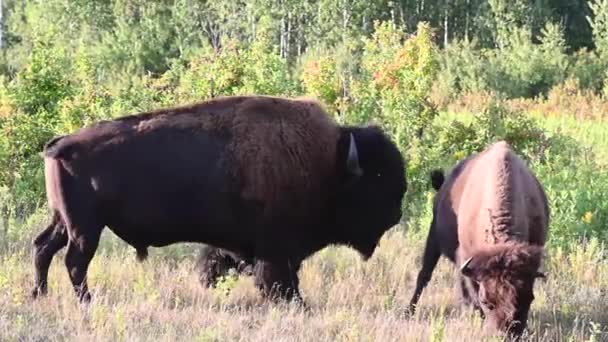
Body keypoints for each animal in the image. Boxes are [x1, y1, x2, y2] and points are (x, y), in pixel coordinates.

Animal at [30, 95, 406, 304]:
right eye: (376, 179)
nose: (397, 212)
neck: (329, 163)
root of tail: (61, 143)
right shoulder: (276, 249)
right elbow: (279, 280)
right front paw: (297, 304)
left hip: (63, 220)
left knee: (43, 248)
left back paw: (39, 295)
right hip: (85, 227)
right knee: (75, 261)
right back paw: (86, 302)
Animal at [406, 141, 548, 336]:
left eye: (529, 298)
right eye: (487, 302)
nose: (506, 334)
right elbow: (471, 294)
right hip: (433, 237)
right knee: (424, 275)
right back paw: (409, 311)